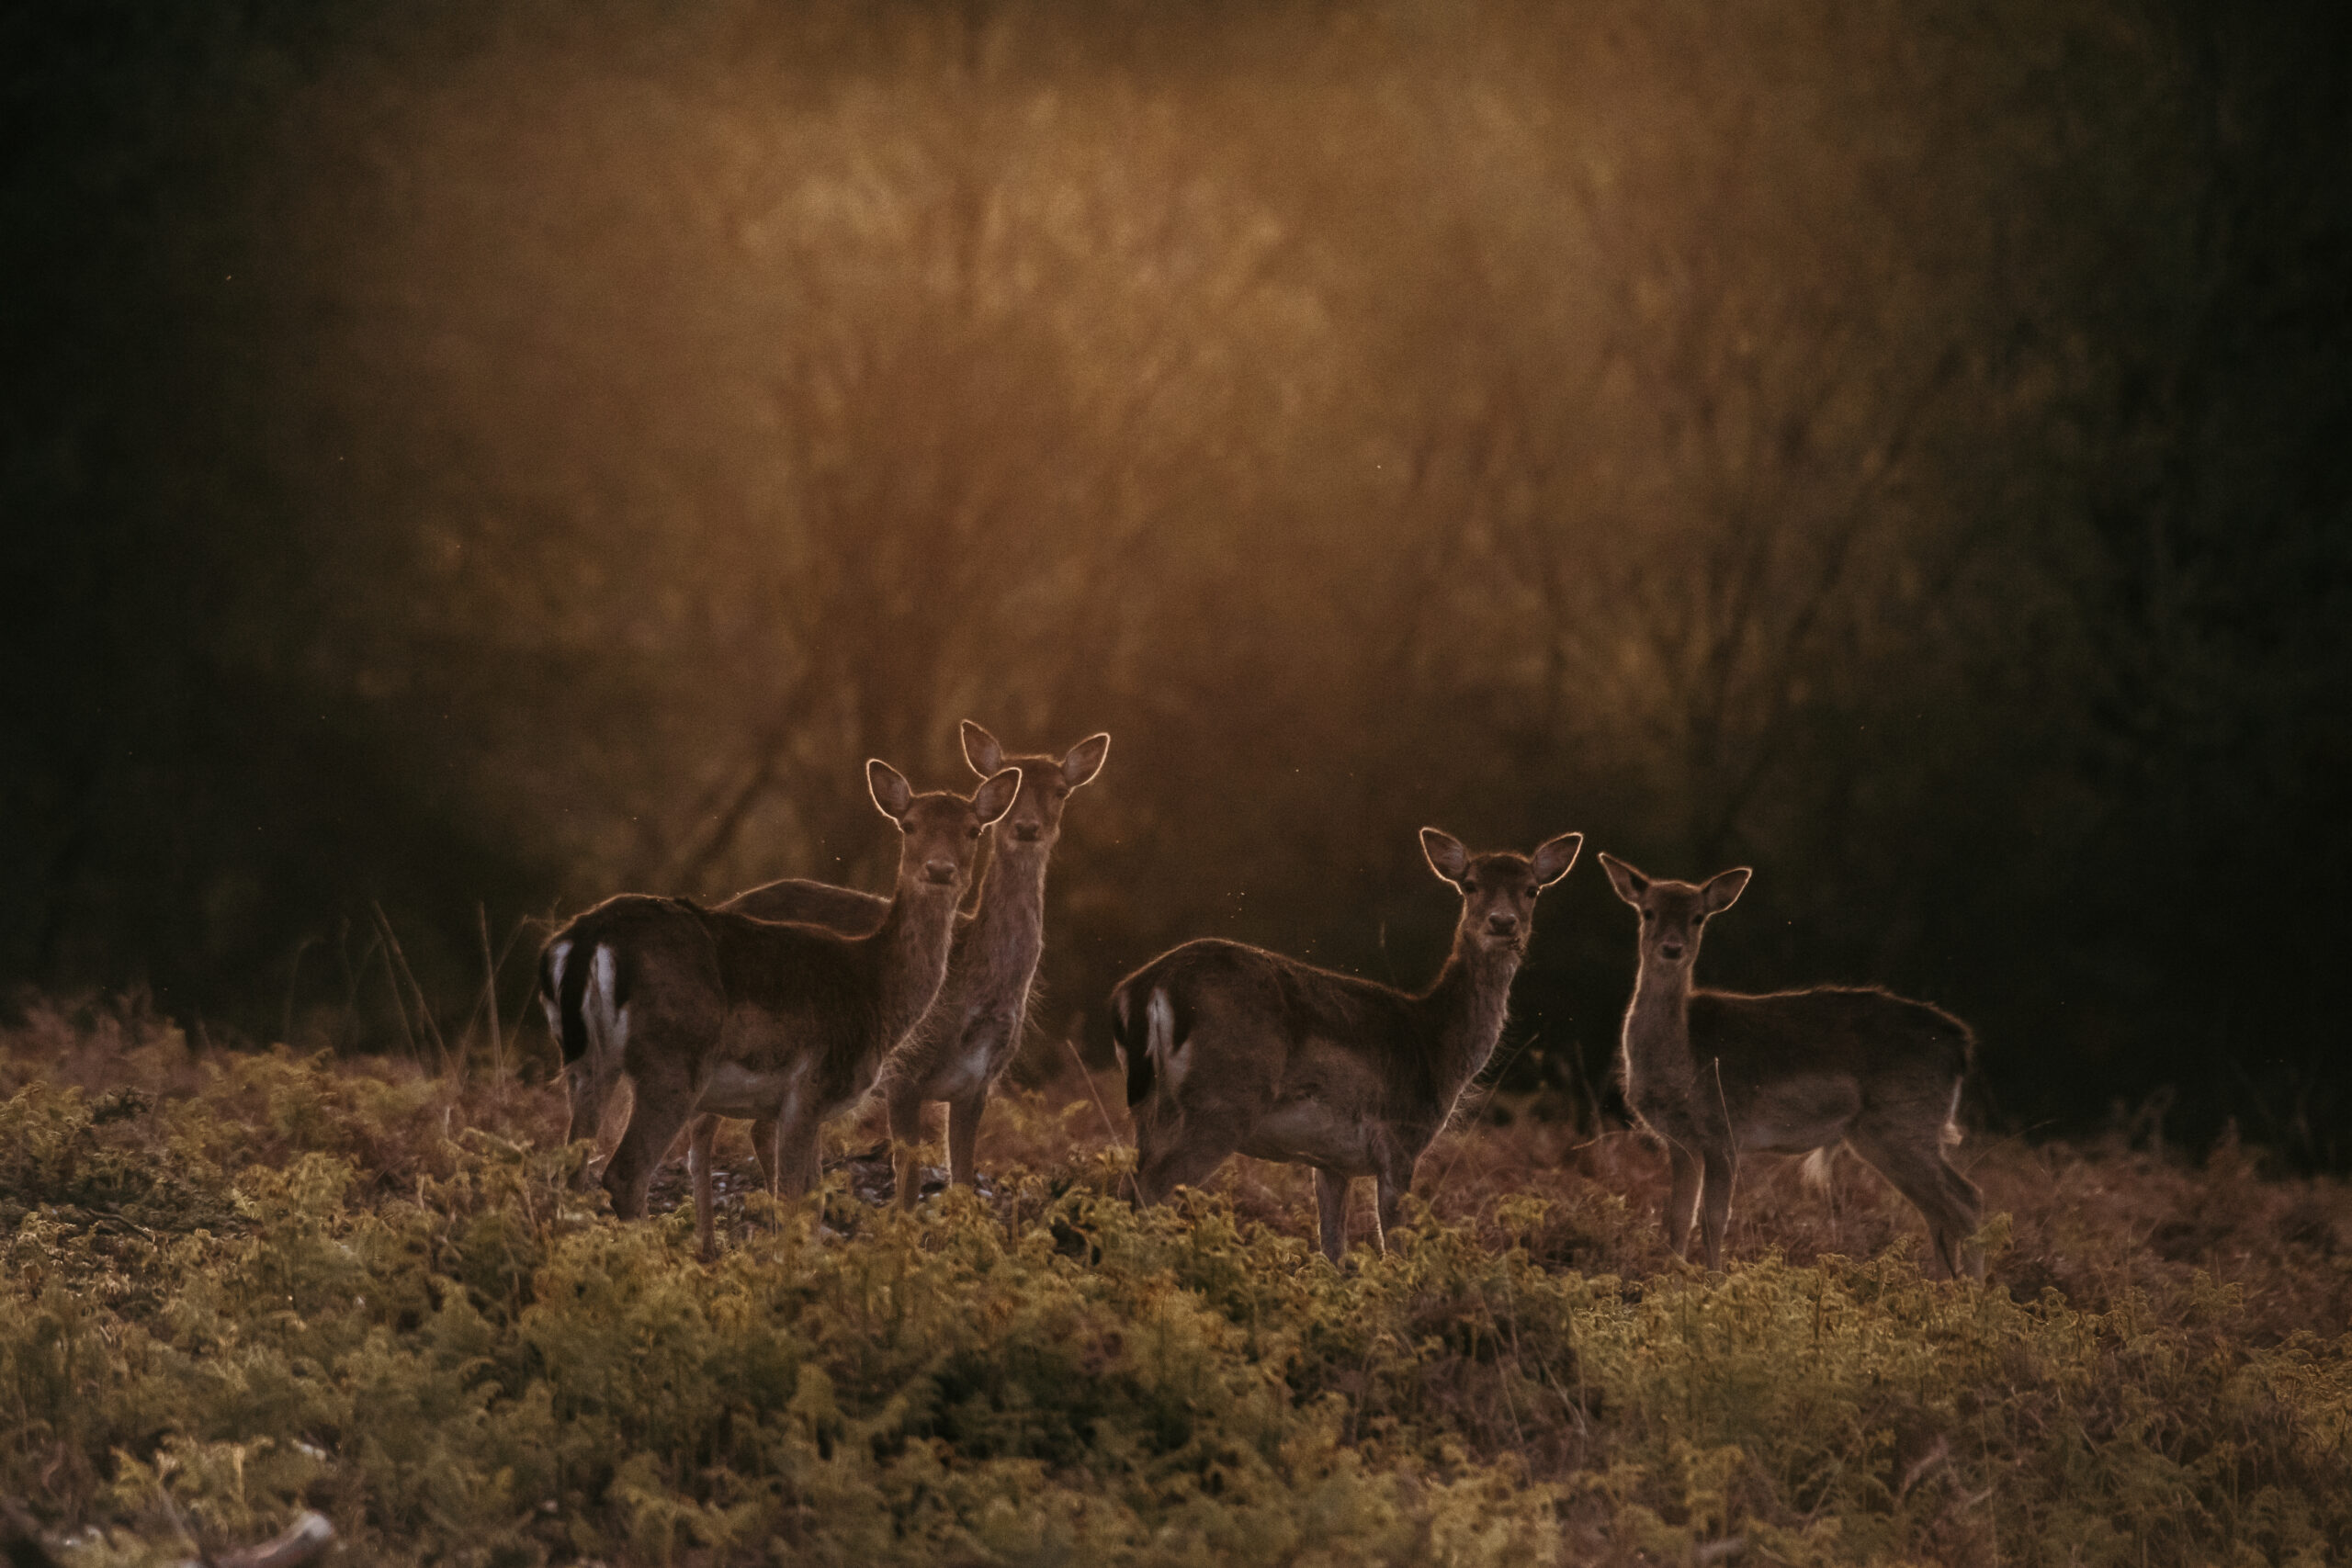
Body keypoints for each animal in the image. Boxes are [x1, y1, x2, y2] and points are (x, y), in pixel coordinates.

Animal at [536, 758, 1021, 1257]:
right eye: (909, 825)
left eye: (973, 830)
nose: (940, 869)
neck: (877, 987)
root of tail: (587, 939)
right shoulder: (810, 1088)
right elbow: (795, 1200)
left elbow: (813, 1199)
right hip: (671, 1064)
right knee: (624, 1173)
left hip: (584, 1062)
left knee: (569, 1172)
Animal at [710, 723, 1111, 1210]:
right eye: (1011, 792)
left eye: (1060, 790)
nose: (1027, 827)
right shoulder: (904, 1075)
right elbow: (910, 1179)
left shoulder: (980, 1082)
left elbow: (962, 1178)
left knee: (761, 1129)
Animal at [1111, 827, 1582, 1263]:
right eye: (1469, 884)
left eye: (1531, 889)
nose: (1503, 922)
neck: (1436, 1045)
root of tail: (1146, 987)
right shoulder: (1399, 1139)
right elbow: (1394, 1246)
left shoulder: (1331, 1162)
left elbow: (1333, 1249)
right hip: (1222, 1101)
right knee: (1148, 1191)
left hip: (1150, 1108)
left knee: (1125, 1188)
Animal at [1595, 853, 1984, 1279]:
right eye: (1648, 912)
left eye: (1698, 917)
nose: (1672, 948)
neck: (1683, 1063)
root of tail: (1961, 1044)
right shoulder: (1680, 1140)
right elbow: (1679, 1218)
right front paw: (1670, 1283)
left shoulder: (1723, 1130)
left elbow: (1715, 1219)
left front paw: (1713, 1284)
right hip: (1881, 1134)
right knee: (1940, 1211)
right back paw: (1944, 1287)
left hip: (1906, 1121)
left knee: (1968, 1200)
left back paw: (1975, 1291)